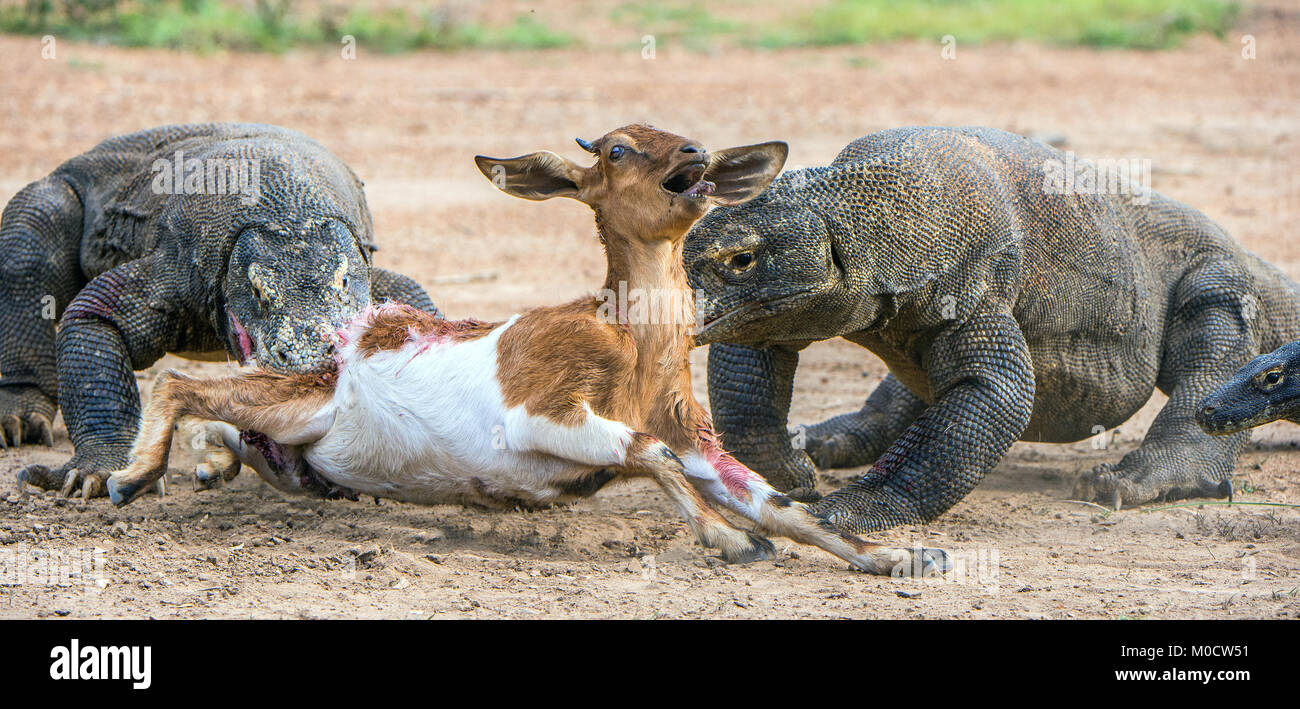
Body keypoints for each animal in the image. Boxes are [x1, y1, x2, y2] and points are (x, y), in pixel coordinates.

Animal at [104, 122, 946, 575]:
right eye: (617, 149)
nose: (697, 155)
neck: (631, 344)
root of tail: (344, 338)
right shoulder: (539, 416)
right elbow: (648, 453)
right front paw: (726, 537)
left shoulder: (695, 435)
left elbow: (783, 504)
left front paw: (897, 557)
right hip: (296, 399)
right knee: (179, 383)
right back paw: (127, 477)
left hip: (294, 434)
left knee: (227, 421)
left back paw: (209, 461)